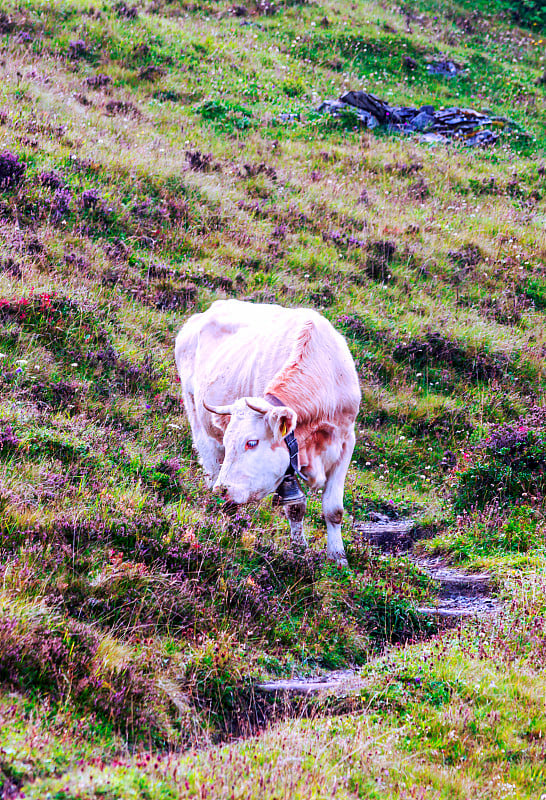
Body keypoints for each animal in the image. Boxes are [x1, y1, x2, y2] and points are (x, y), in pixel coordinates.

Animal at [174, 296, 360, 564]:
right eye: (231, 441)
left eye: (251, 442)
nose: (223, 490)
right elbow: (295, 507)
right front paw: (299, 551)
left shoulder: (346, 441)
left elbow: (333, 509)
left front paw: (337, 558)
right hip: (198, 424)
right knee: (211, 467)